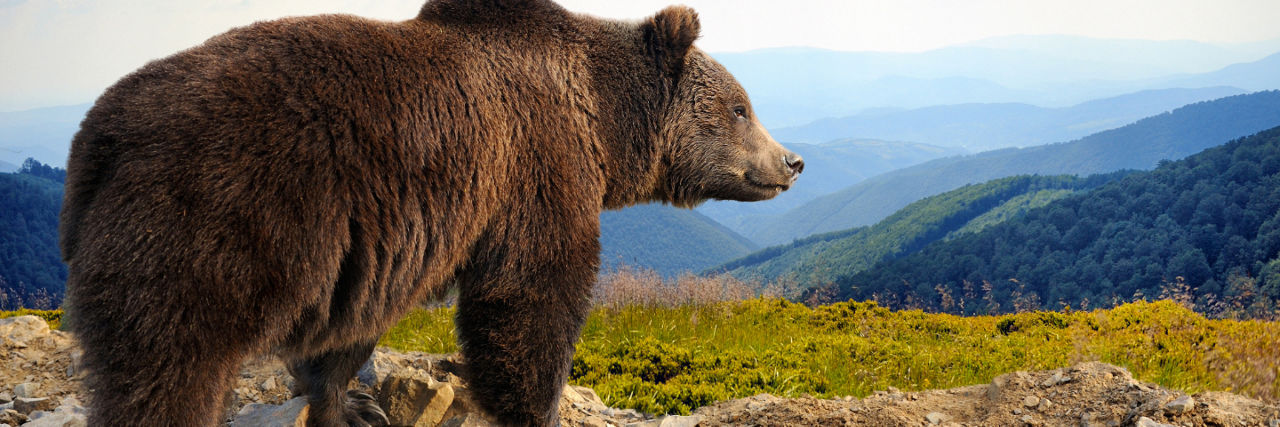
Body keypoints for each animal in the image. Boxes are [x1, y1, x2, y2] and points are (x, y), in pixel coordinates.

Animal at [59, 0, 803, 426]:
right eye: (741, 106)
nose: (792, 161)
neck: (602, 119)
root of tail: (99, 133)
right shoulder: (534, 165)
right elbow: (534, 292)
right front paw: (536, 403)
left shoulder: (377, 240)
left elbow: (352, 326)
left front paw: (352, 402)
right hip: (212, 220)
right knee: (169, 366)